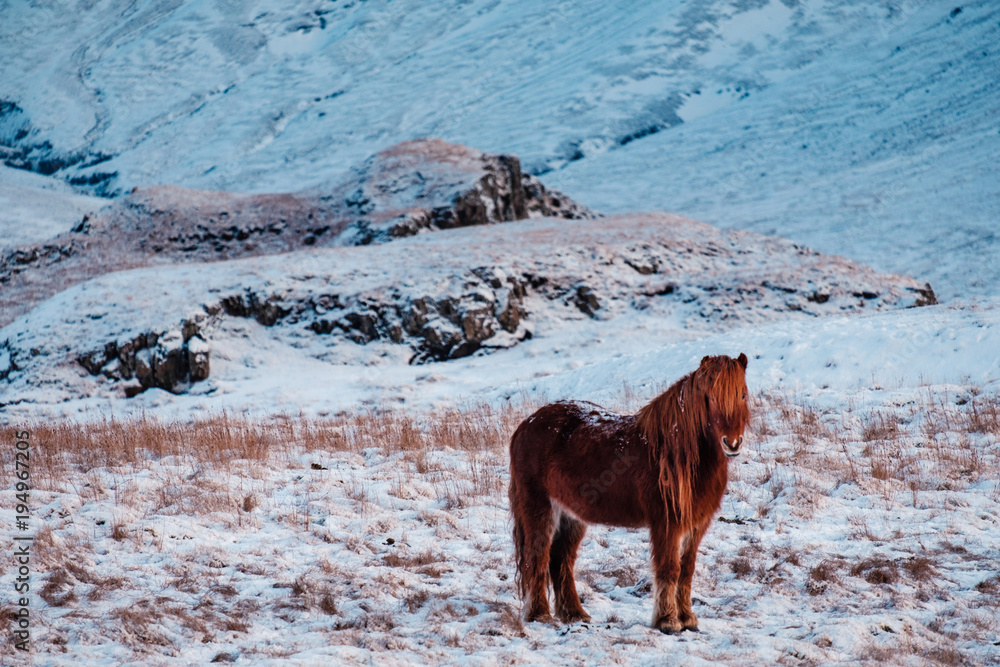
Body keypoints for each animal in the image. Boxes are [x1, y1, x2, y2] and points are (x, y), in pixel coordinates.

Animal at [508, 353, 750, 633]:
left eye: (743, 395)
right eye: (710, 397)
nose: (732, 443)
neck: (676, 453)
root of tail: (526, 424)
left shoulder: (696, 525)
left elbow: (687, 570)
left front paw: (688, 619)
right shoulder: (666, 524)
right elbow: (669, 569)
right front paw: (668, 620)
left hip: (570, 516)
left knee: (561, 560)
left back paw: (575, 614)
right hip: (539, 509)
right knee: (537, 557)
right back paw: (540, 615)